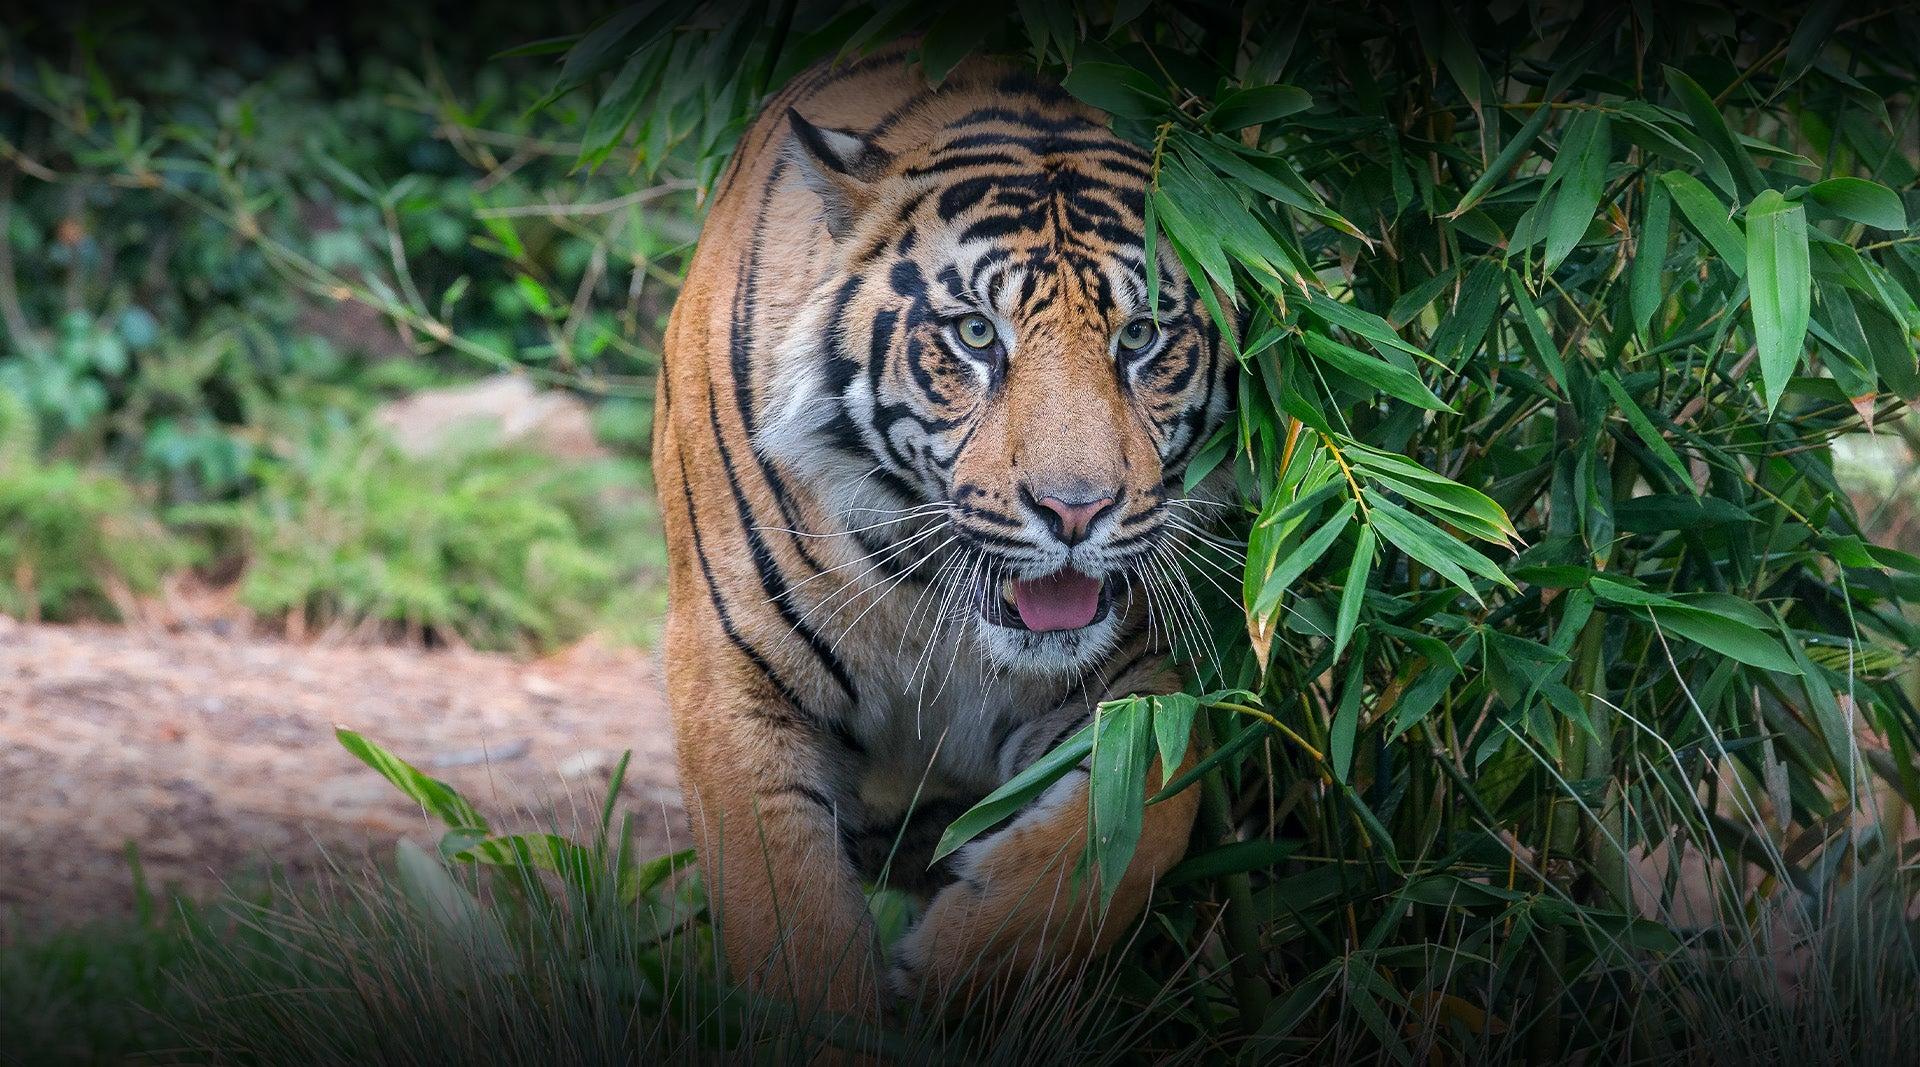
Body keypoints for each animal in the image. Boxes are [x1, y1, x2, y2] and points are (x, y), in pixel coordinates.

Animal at [654, 39, 1233, 1021]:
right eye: (975, 334)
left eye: (1142, 337)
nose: (1075, 509)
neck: (937, 603)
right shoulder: (734, 673)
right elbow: (787, 925)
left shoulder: (1137, 684)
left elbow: (1122, 838)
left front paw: (947, 975)